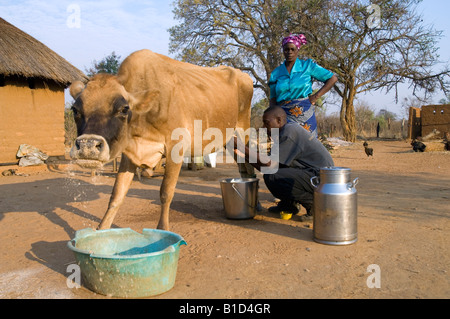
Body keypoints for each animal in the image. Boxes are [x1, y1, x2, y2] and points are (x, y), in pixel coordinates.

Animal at [70, 49, 253, 230]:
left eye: (124, 109)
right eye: (75, 110)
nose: (88, 145)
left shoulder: (176, 147)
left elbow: (166, 192)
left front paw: (163, 230)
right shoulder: (129, 153)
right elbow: (117, 194)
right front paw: (101, 229)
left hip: (243, 130)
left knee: (248, 162)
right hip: (229, 138)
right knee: (241, 164)